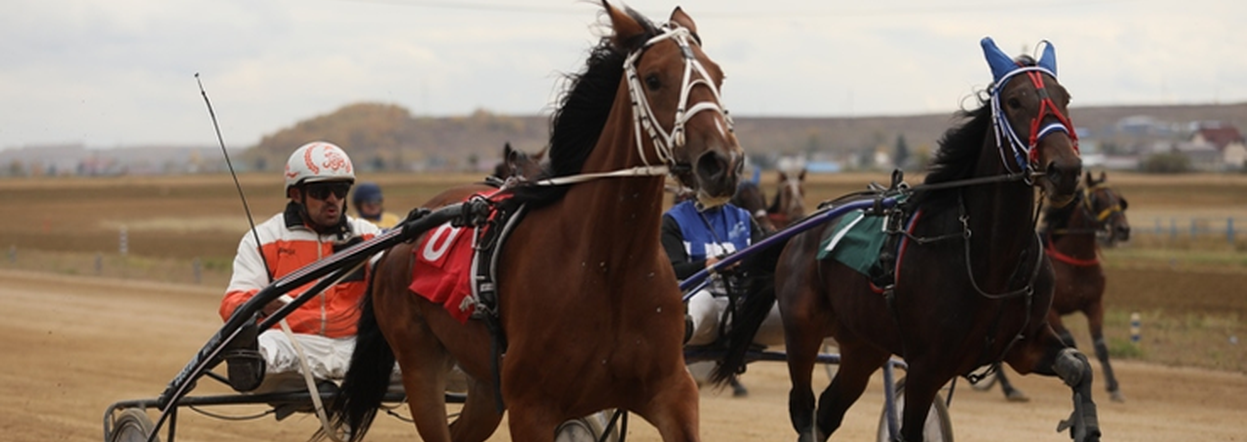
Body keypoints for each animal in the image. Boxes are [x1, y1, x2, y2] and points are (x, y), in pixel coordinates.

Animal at [326, 1, 743, 439]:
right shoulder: (531, 408)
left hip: (482, 381)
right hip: (420, 364)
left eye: (718, 75)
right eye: (654, 79)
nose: (722, 163)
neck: (608, 269)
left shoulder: (672, 393)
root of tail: (402, 234)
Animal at [713, 37, 1102, 442]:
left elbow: (1080, 367)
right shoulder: (927, 368)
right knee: (804, 410)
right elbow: (911, 427)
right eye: (1014, 101)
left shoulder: (1026, 344)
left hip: (863, 345)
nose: (1066, 170)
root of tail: (802, 229)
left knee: (830, 409)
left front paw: (1085, 424)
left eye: (1065, 97)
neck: (989, 258)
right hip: (803, 332)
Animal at [987, 169, 1137, 404]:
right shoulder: (1052, 312)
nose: (1122, 229)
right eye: (1097, 200)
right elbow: (1069, 339)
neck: (1074, 262)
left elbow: (1101, 346)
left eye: (1118, 199)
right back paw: (1009, 389)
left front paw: (1114, 388)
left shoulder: (1094, 305)